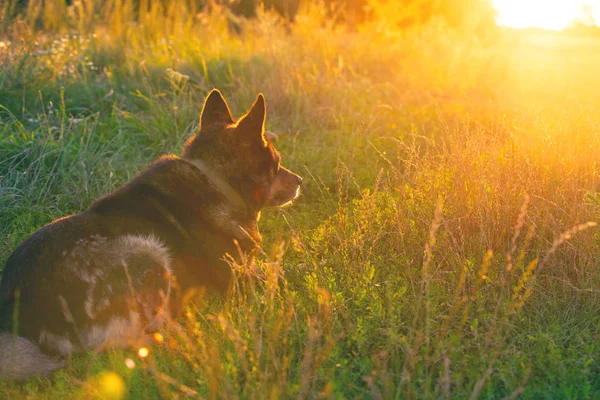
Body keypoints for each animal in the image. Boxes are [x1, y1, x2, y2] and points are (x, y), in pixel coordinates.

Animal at [0, 89, 300, 380]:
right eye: (277, 162)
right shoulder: (237, 277)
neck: (217, 182)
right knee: (121, 343)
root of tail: (20, 317)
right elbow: (277, 274)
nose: (300, 180)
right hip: (147, 252)